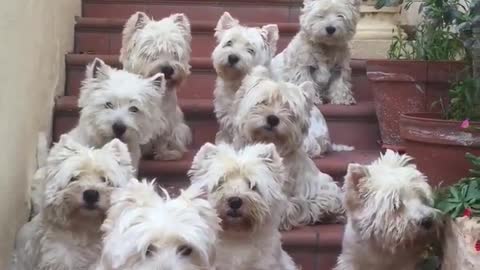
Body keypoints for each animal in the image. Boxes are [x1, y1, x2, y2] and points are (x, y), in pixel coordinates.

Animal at [120, 11, 193, 160]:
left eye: (174, 53)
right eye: (151, 53)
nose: (168, 69)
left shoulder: (167, 120)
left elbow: (163, 138)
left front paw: (164, 154)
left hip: (180, 128)